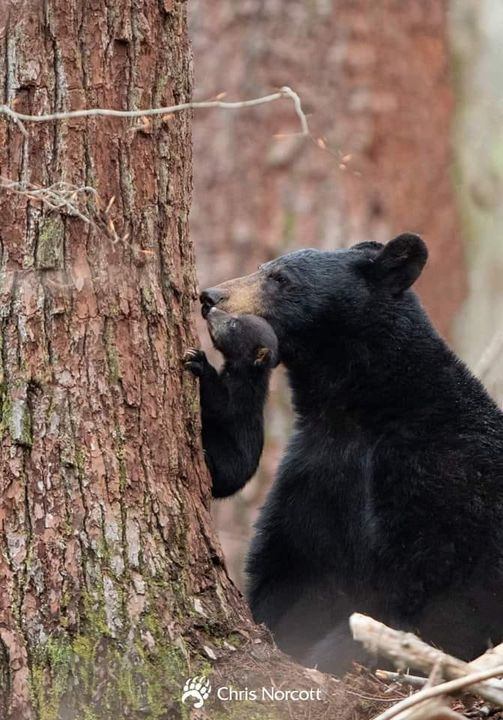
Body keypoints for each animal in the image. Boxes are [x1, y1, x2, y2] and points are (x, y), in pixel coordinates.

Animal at [184, 307, 278, 499]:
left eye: (234, 324)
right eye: (236, 316)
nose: (211, 309)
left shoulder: (244, 393)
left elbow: (222, 406)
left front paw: (199, 361)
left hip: (228, 456)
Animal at [199, 233, 503, 674]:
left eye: (281, 279)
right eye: (262, 267)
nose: (209, 296)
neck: (357, 412)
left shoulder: (445, 477)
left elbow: (431, 595)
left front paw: (339, 654)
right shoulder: (315, 473)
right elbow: (290, 568)